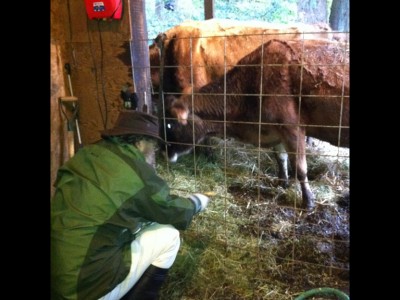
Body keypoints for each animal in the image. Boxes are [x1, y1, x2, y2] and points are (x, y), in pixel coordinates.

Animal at [164, 38, 348, 210]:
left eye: (169, 125)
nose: (164, 151)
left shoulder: (292, 127)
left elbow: (300, 169)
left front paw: (308, 201)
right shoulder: (277, 129)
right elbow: (280, 157)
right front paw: (282, 182)